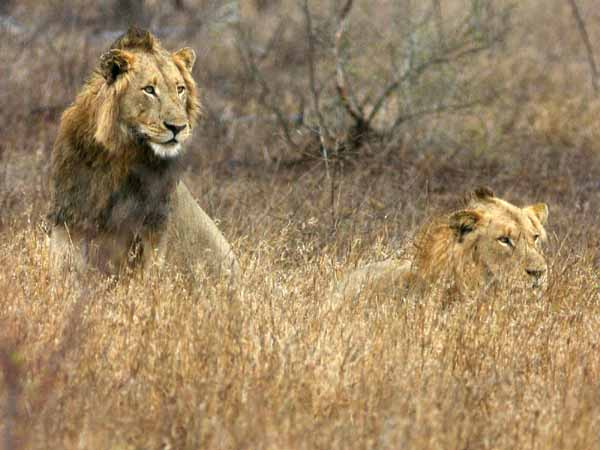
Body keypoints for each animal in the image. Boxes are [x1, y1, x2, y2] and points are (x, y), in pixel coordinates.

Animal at [48, 26, 239, 280]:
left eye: (180, 89)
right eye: (149, 90)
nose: (178, 127)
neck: (119, 154)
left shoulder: (153, 225)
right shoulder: (69, 217)